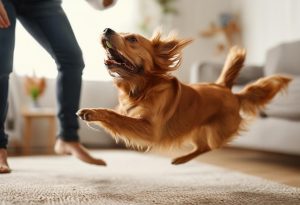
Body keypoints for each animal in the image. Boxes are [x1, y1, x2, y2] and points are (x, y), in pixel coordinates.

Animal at [77, 27, 290, 165]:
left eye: (132, 39)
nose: (106, 29)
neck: (141, 88)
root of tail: (228, 91)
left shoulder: (150, 129)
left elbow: (114, 116)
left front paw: (92, 112)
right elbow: (118, 115)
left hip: (217, 134)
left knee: (211, 146)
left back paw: (181, 158)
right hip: (195, 128)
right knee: (203, 147)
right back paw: (180, 159)